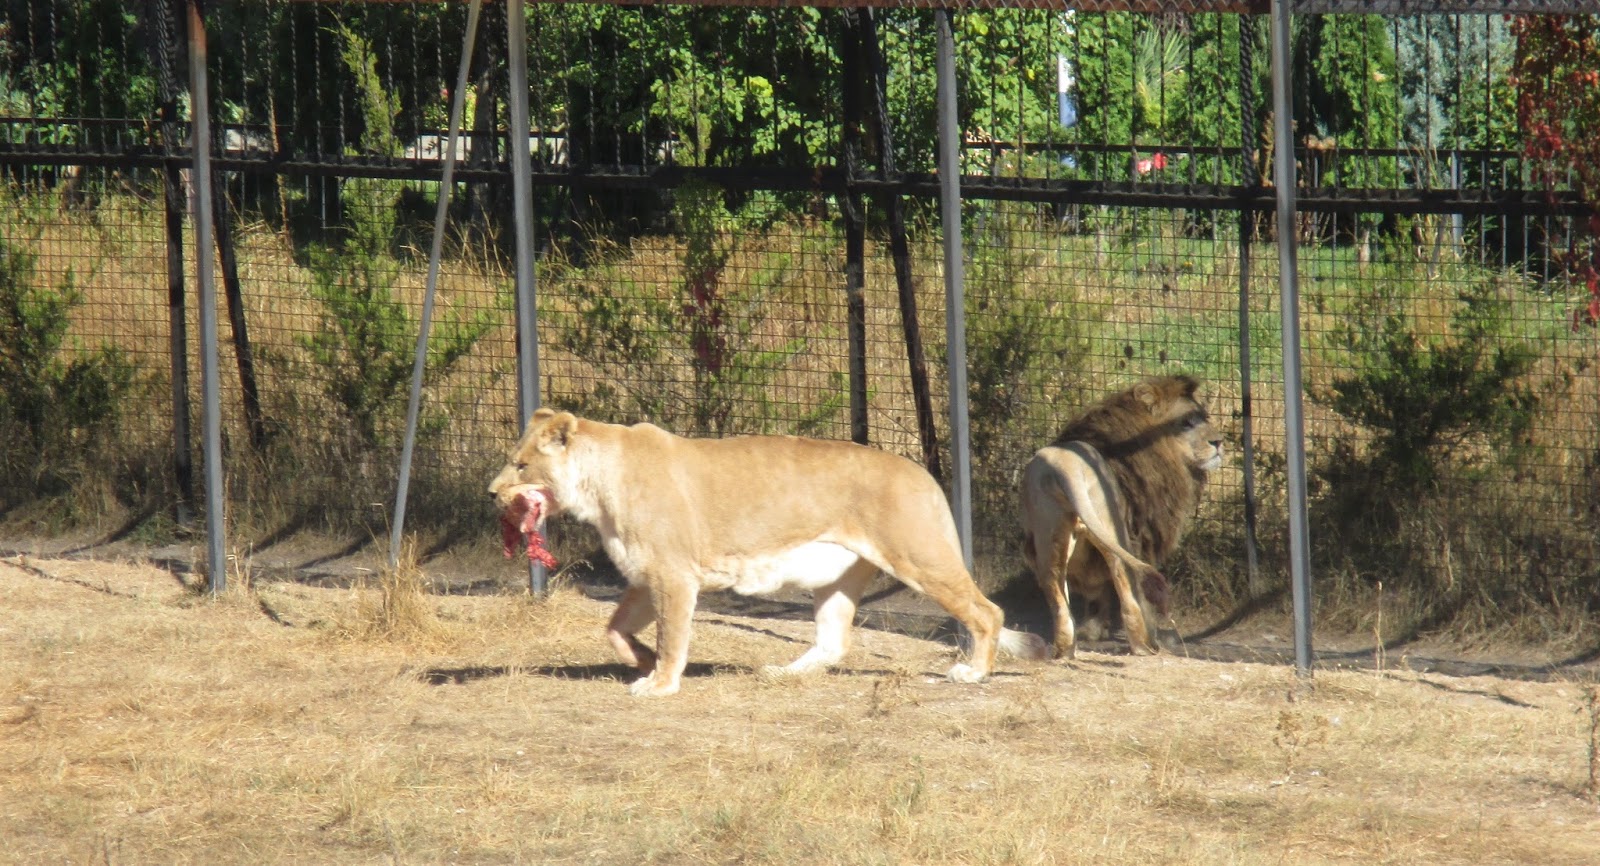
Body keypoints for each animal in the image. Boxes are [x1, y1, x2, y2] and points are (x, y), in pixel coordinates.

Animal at [489, 408, 1049, 697]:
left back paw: (973, 672)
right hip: (838, 578)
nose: (492, 493)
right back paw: (784, 673)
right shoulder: (649, 575)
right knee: (833, 642)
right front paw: (641, 660)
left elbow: (673, 636)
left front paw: (660, 681)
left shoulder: (673, 574)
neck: (598, 488)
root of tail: (921, 473)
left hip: (920, 557)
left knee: (987, 611)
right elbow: (614, 629)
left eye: (521, 465)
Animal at [1024, 372, 1222, 656]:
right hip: (1115, 533)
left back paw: (1065, 650)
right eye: (1186, 422)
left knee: (1060, 603)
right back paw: (1149, 644)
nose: (1218, 442)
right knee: (1130, 593)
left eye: (1204, 417)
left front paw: (1093, 630)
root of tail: (1064, 469)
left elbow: (1095, 595)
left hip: (1048, 542)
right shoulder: (1143, 534)